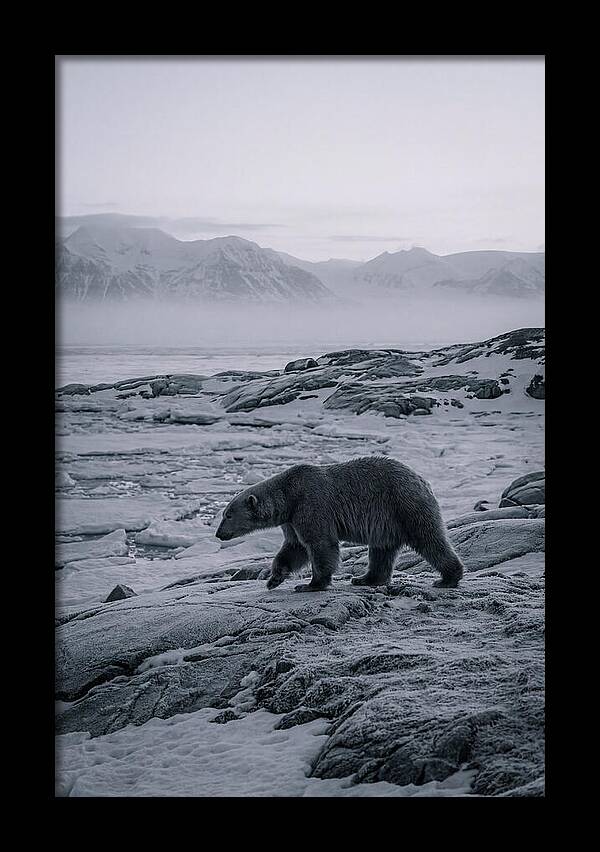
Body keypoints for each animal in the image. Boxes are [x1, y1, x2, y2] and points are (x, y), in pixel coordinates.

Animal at [215, 456, 464, 592]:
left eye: (227, 515)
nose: (218, 534)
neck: (289, 495)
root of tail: (422, 480)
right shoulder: (292, 519)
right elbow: (294, 547)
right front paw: (274, 578)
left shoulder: (311, 504)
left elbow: (320, 544)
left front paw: (311, 584)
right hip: (387, 521)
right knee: (381, 551)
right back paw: (365, 578)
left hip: (404, 505)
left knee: (429, 539)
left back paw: (448, 578)